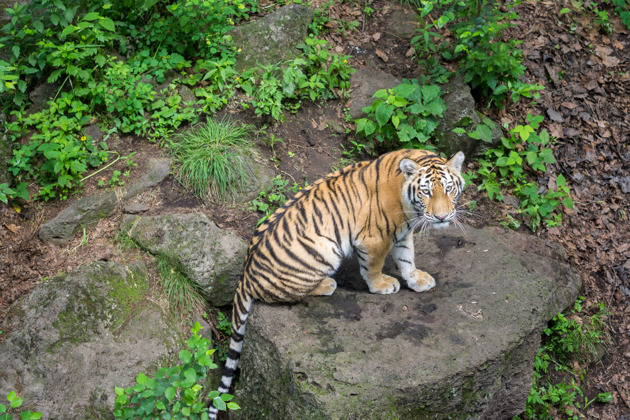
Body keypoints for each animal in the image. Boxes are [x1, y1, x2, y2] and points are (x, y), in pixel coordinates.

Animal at [210, 148, 466, 420]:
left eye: (449, 189)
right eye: (426, 191)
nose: (441, 217)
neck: (407, 203)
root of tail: (245, 274)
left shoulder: (403, 232)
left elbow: (407, 257)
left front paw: (416, 279)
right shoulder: (374, 238)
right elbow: (374, 266)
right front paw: (382, 285)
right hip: (326, 249)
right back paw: (326, 285)